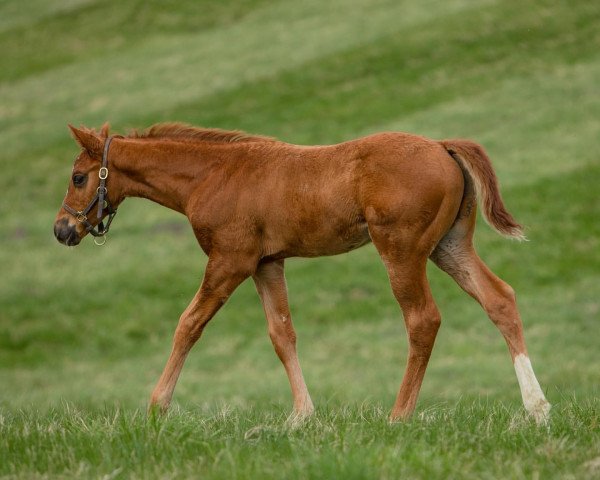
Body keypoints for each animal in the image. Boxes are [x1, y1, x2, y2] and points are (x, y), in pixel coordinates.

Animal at [54, 122, 552, 422]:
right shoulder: (266, 263)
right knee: (499, 298)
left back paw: (399, 416)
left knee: (423, 320)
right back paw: (537, 407)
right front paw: (301, 416)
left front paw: (157, 407)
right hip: (449, 246)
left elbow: (189, 324)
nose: (62, 230)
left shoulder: (230, 261)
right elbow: (282, 334)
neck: (214, 174)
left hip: (402, 251)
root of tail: (442, 147)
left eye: (78, 177)